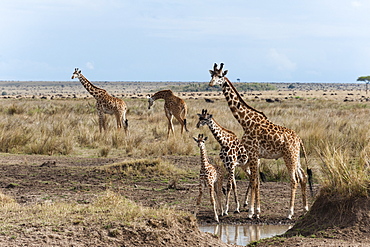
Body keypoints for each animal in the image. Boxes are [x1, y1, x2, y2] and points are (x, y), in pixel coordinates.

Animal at [210, 62, 310, 219]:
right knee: (303, 176)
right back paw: (305, 209)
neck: (245, 122)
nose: (210, 84)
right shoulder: (255, 156)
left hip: (288, 156)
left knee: (294, 180)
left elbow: (253, 180)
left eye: (220, 76)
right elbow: (255, 181)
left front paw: (251, 212)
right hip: (296, 157)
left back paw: (289, 213)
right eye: (211, 75)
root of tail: (299, 138)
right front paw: (256, 211)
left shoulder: (252, 153)